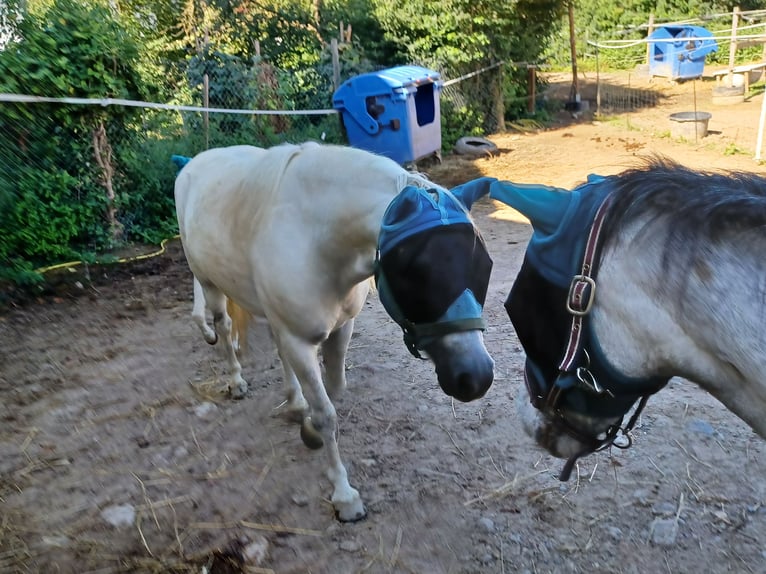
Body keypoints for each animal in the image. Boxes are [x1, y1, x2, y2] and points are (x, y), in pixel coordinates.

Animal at [173, 144, 496, 520]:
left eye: (484, 266)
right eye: (413, 270)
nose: (475, 377)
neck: (315, 239)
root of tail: (192, 163)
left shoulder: (340, 328)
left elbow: (335, 390)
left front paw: (308, 425)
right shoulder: (299, 340)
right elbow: (327, 414)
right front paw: (345, 496)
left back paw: (295, 402)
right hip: (209, 282)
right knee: (224, 327)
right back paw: (236, 381)